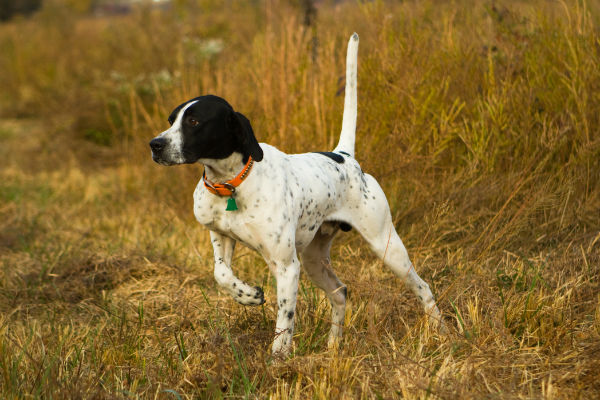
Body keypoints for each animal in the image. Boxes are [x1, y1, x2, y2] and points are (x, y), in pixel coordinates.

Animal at [148, 32, 442, 354]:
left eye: (194, 122)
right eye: (171, 120)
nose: (155, 145)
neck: (233, 183)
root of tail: (345, 156)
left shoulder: (287, 266)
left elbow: (285, 319)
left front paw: (278, 358)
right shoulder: (221, 236)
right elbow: (221, 273)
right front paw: (247, 295)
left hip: (386, 246)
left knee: (423, 287)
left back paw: (438, 331)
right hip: (315, 260)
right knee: (340, 293)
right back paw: (333, 346)